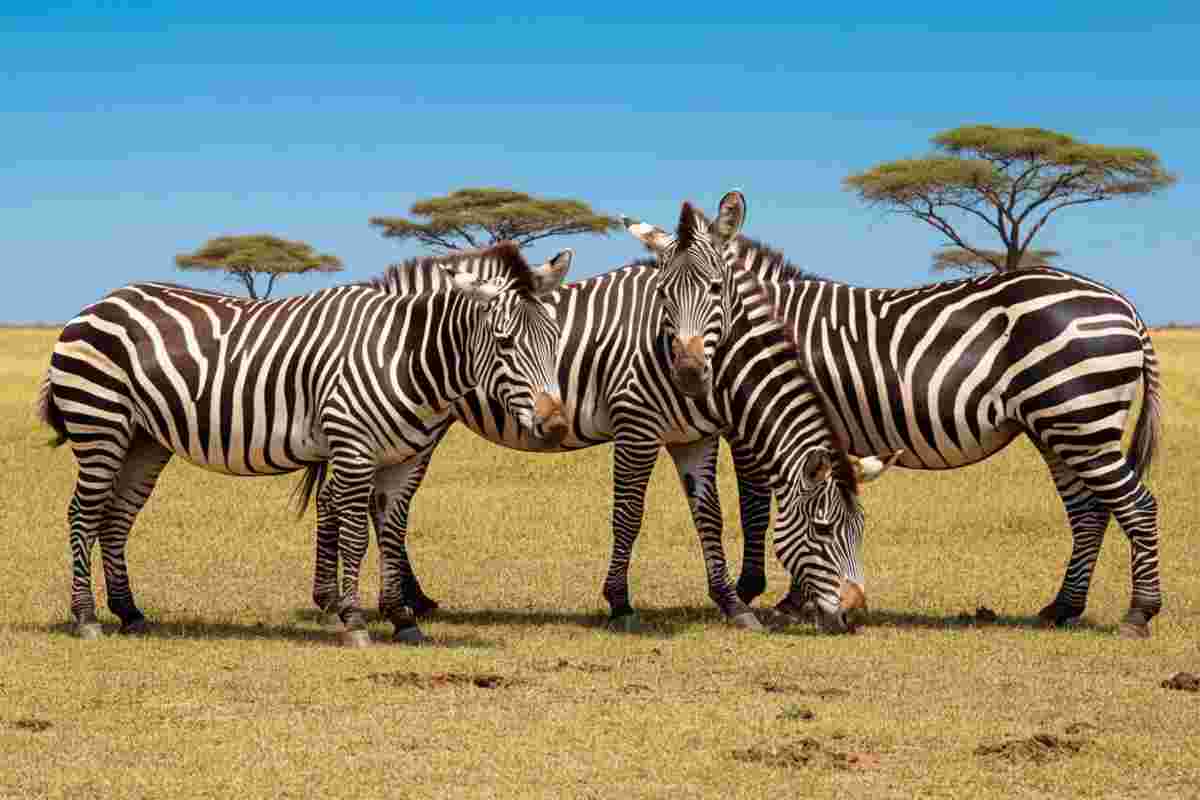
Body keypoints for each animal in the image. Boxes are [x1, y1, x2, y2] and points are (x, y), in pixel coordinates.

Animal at [34, 242, 572, 646]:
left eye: (553, 338)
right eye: (504, 342)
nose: (556, 425)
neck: (403, 354)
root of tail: (99, 302)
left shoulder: (403, 459)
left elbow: (391, 532)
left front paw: (402, 619)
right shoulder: (353, 448)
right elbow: (353, 533)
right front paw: (353, 620)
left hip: (144, 440)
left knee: (115, 517)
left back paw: (130, 614)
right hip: (100, 423)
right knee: (83, 513)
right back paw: (86, 618)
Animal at [311, 223, 897, 642]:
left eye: (861, 530)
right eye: (823, 529)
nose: (853, 614)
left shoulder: (695, 437)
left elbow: (708, 517)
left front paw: (732, 604)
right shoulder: (636, 424)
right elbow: (629, 515)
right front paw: (620, 603)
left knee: (375, 503)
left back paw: (411, 601)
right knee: (343, 498)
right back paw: (338, 603)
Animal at [627, 192, 1164, 638]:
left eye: (716, 289)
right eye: (661, 296)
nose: (689, 373)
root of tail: (1125, 305)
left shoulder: (762, 424)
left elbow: (759, 508)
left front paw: (763, 593)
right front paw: (795, 596)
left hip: (1081, 420)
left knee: (1136, 505)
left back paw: (1139, 614)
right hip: (1058, 427)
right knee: (1089, 511)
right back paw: (1062, 607)